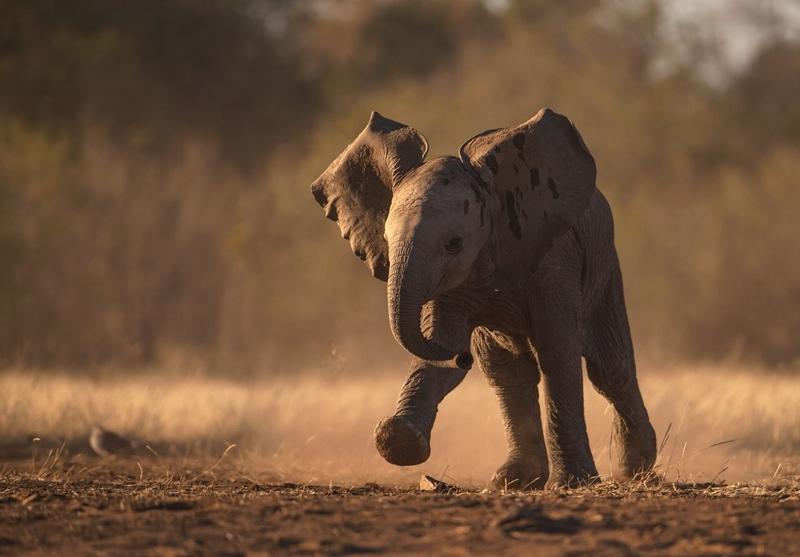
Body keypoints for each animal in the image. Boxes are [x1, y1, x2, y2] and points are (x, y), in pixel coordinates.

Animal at [312, 107, 656, 486]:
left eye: (454, 243)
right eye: (387, 240)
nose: (463, 357)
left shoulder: (555, 259)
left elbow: (558, 352)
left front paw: (574, 482)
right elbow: (442, 348)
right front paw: (397, 440)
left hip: (604, 267)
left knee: (610, 368)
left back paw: (633, 470)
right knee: (507, 370)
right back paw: (513, 480)